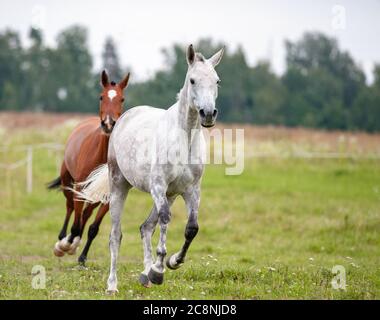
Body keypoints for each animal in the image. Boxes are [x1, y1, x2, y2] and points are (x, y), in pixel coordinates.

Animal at [47, 69, 131, 264]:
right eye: (101, 97)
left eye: (122, 99)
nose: (108, 123)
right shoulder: (79, 187)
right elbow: (76, 224)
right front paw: (64, 245)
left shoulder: (109, 194)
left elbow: (93, 228)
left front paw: (82, 256)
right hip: (67, 180)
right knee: (70, 207)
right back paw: (63, 239)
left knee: (85, 214)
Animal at [75, 44, 223, 292]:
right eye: (193, 80)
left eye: (217, 81)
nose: (208, 114)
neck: (184, 138)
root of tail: (123, 118)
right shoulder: (158, 186)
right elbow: (164, 220)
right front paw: (159, 270)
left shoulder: (191, 190)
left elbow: (192, 228)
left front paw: (172, 262)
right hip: (120, 186)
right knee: (115, 235)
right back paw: (113, 284)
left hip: (169, 195)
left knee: (145, 227)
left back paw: (145, 274)